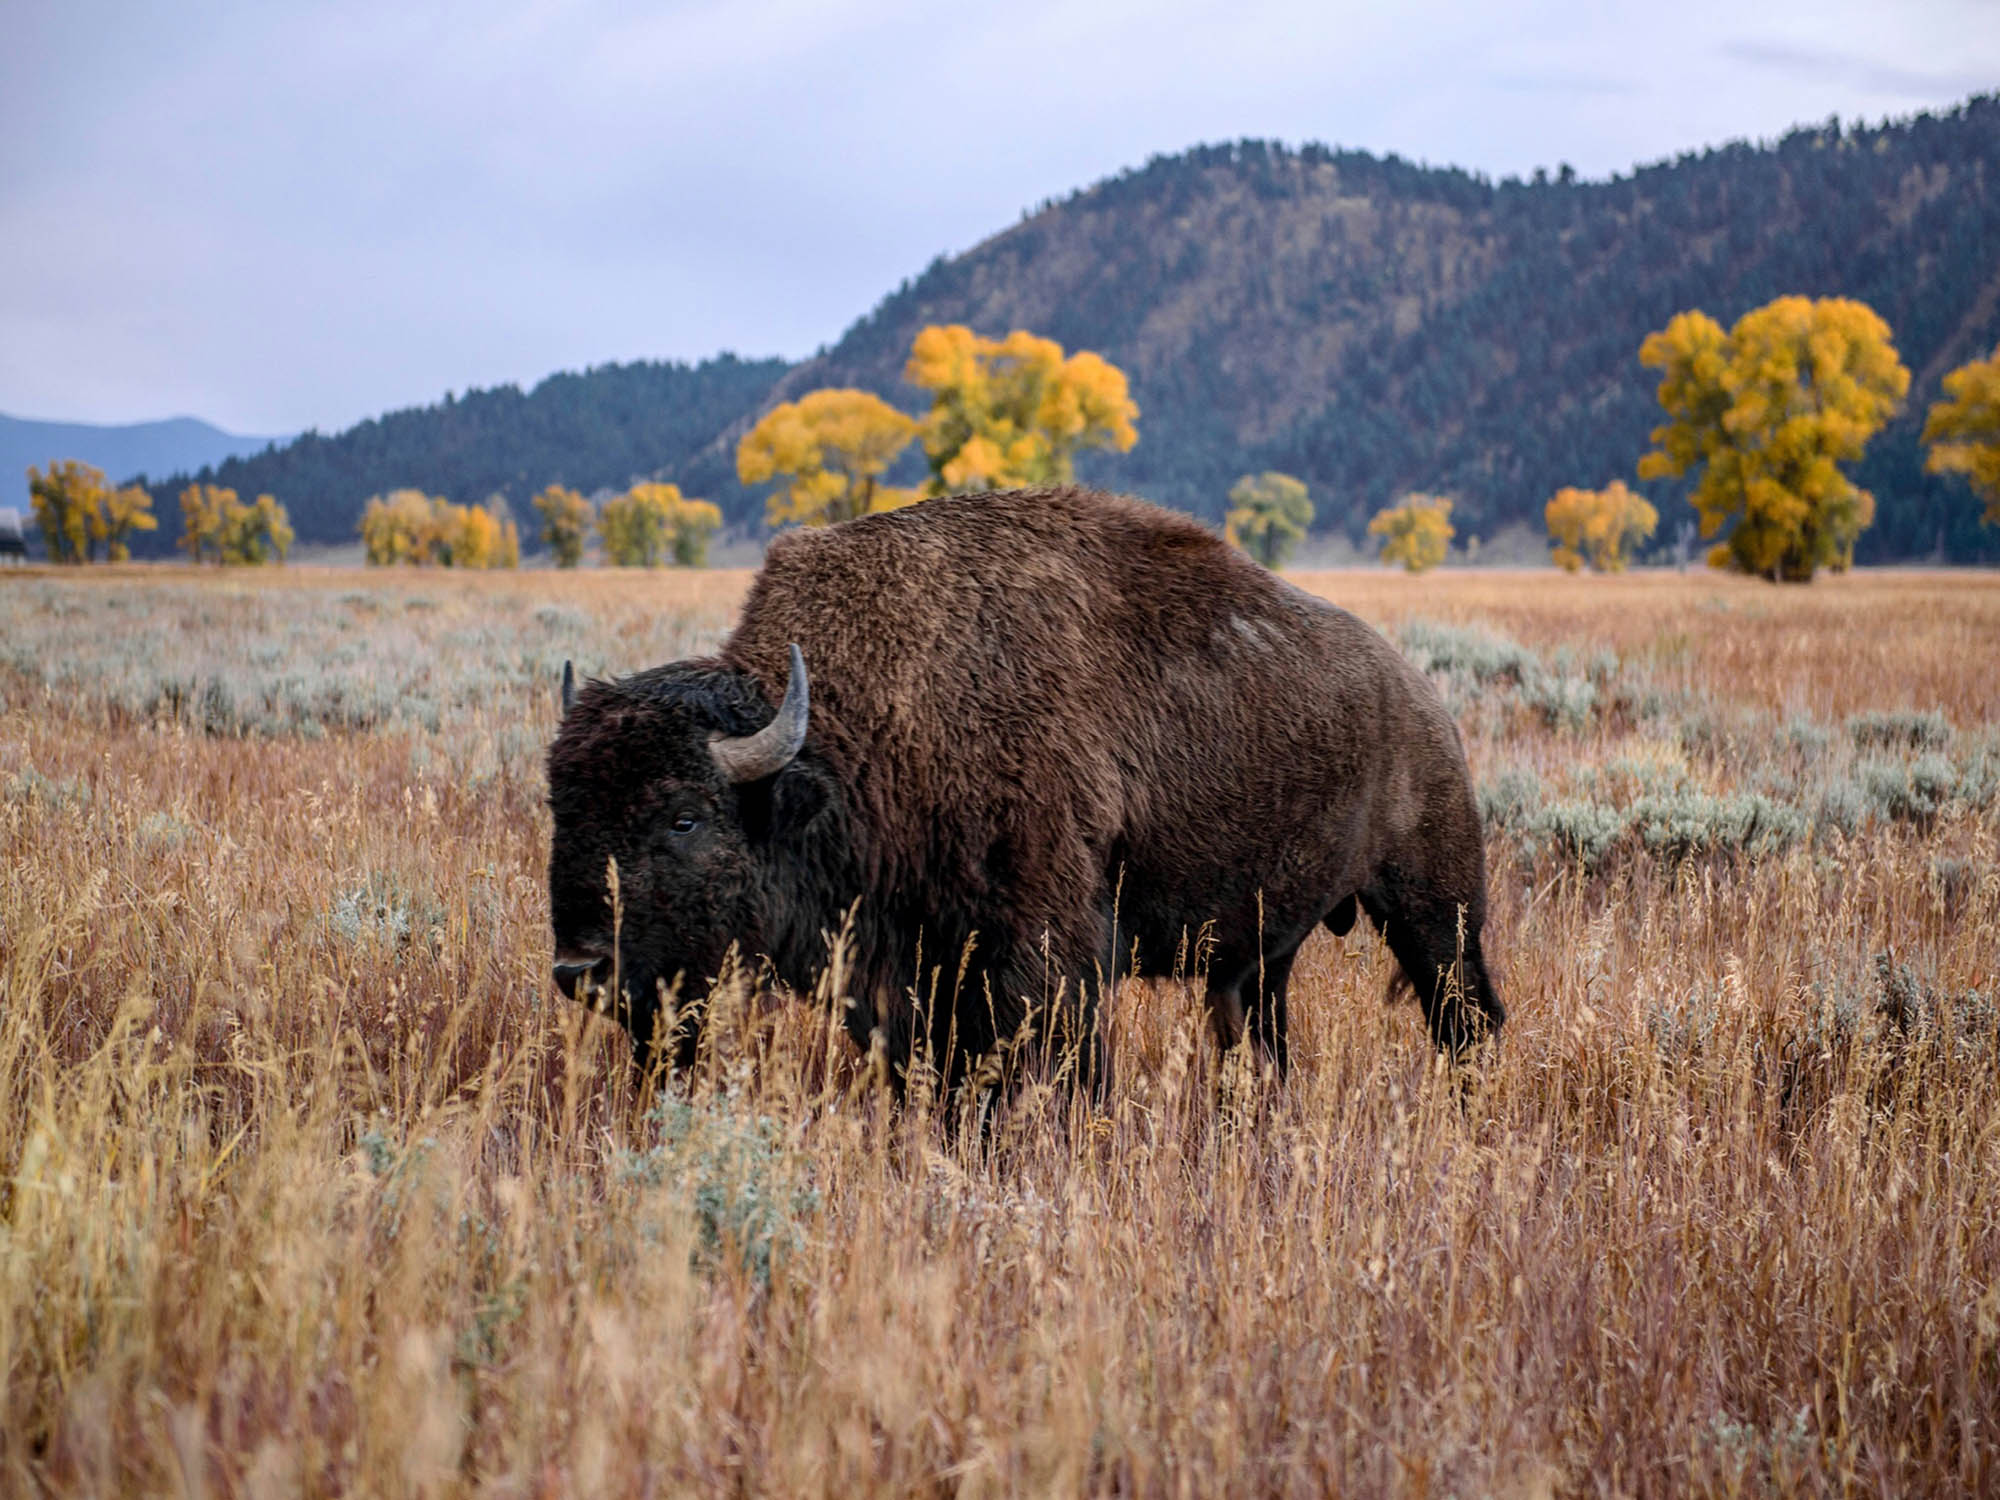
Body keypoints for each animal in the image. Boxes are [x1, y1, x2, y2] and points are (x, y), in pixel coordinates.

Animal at [545, 486, 1500, 1097]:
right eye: (562, 808)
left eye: (685, 816)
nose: (580, 967)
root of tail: (1424, 700)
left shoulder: (1044, 962)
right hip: (1263, 955)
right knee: (1262, 1036)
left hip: (1435, 912)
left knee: (1468, 1019)